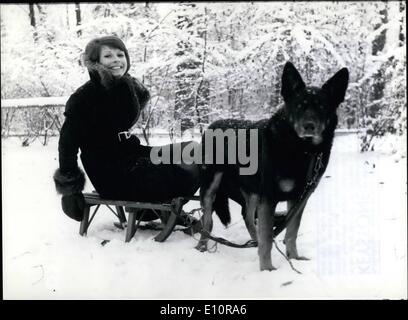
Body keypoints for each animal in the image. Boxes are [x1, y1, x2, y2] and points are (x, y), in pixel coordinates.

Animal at [196, 62, 350, 270]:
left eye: (322, 107)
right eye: (299, 106)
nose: (309, 126)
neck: (302, 149)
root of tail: (211, 126)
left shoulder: (298, 198)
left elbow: (291, 231)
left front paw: (294, 258)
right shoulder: (269, 197)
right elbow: (268, 237)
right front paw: (267, 270)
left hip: (253, 190)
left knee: (247, 216)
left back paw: (253, 243)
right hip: (211, 185)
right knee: (207, 220)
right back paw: (202, 246)